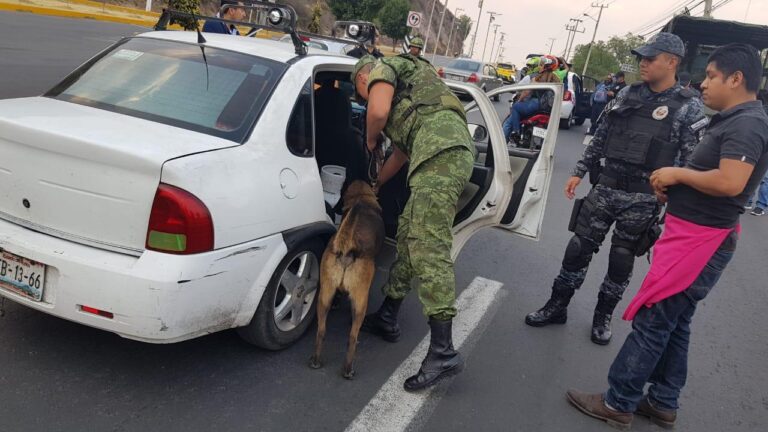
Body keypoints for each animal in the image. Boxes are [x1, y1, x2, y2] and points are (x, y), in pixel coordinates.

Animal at [308, 179, 384, 378]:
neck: (362, 197)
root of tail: (346, 249)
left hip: (324, 296)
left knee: (321, 331)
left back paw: (316, 360)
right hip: (360, 303)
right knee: (352, 337)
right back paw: (348, 369)